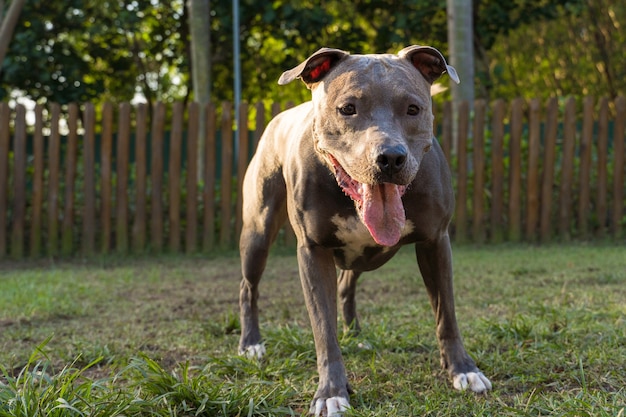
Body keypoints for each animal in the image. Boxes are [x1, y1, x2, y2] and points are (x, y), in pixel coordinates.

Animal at [236, 44, 490, 414]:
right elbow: (323, 330)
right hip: (258, 231)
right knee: (248, 287)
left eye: (413, 109)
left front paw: (463, 370)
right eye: (347, 109)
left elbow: (447, 314)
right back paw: (251, 344)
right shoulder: (313, 252)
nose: (390, 158)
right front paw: (331, 392)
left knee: (346, 284)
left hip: (362, 254)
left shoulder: (435, 242)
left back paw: (355, 334)